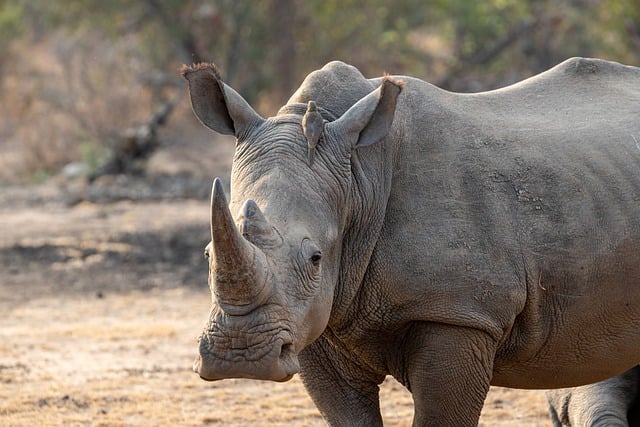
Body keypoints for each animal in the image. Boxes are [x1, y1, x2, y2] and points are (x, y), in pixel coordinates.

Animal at [180, 57, 640, 427]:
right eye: (206, 254)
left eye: (315, 258)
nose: (241, 356)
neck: (360, 176)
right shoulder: (314, 322)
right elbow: (349, 416)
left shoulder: (458, 312)